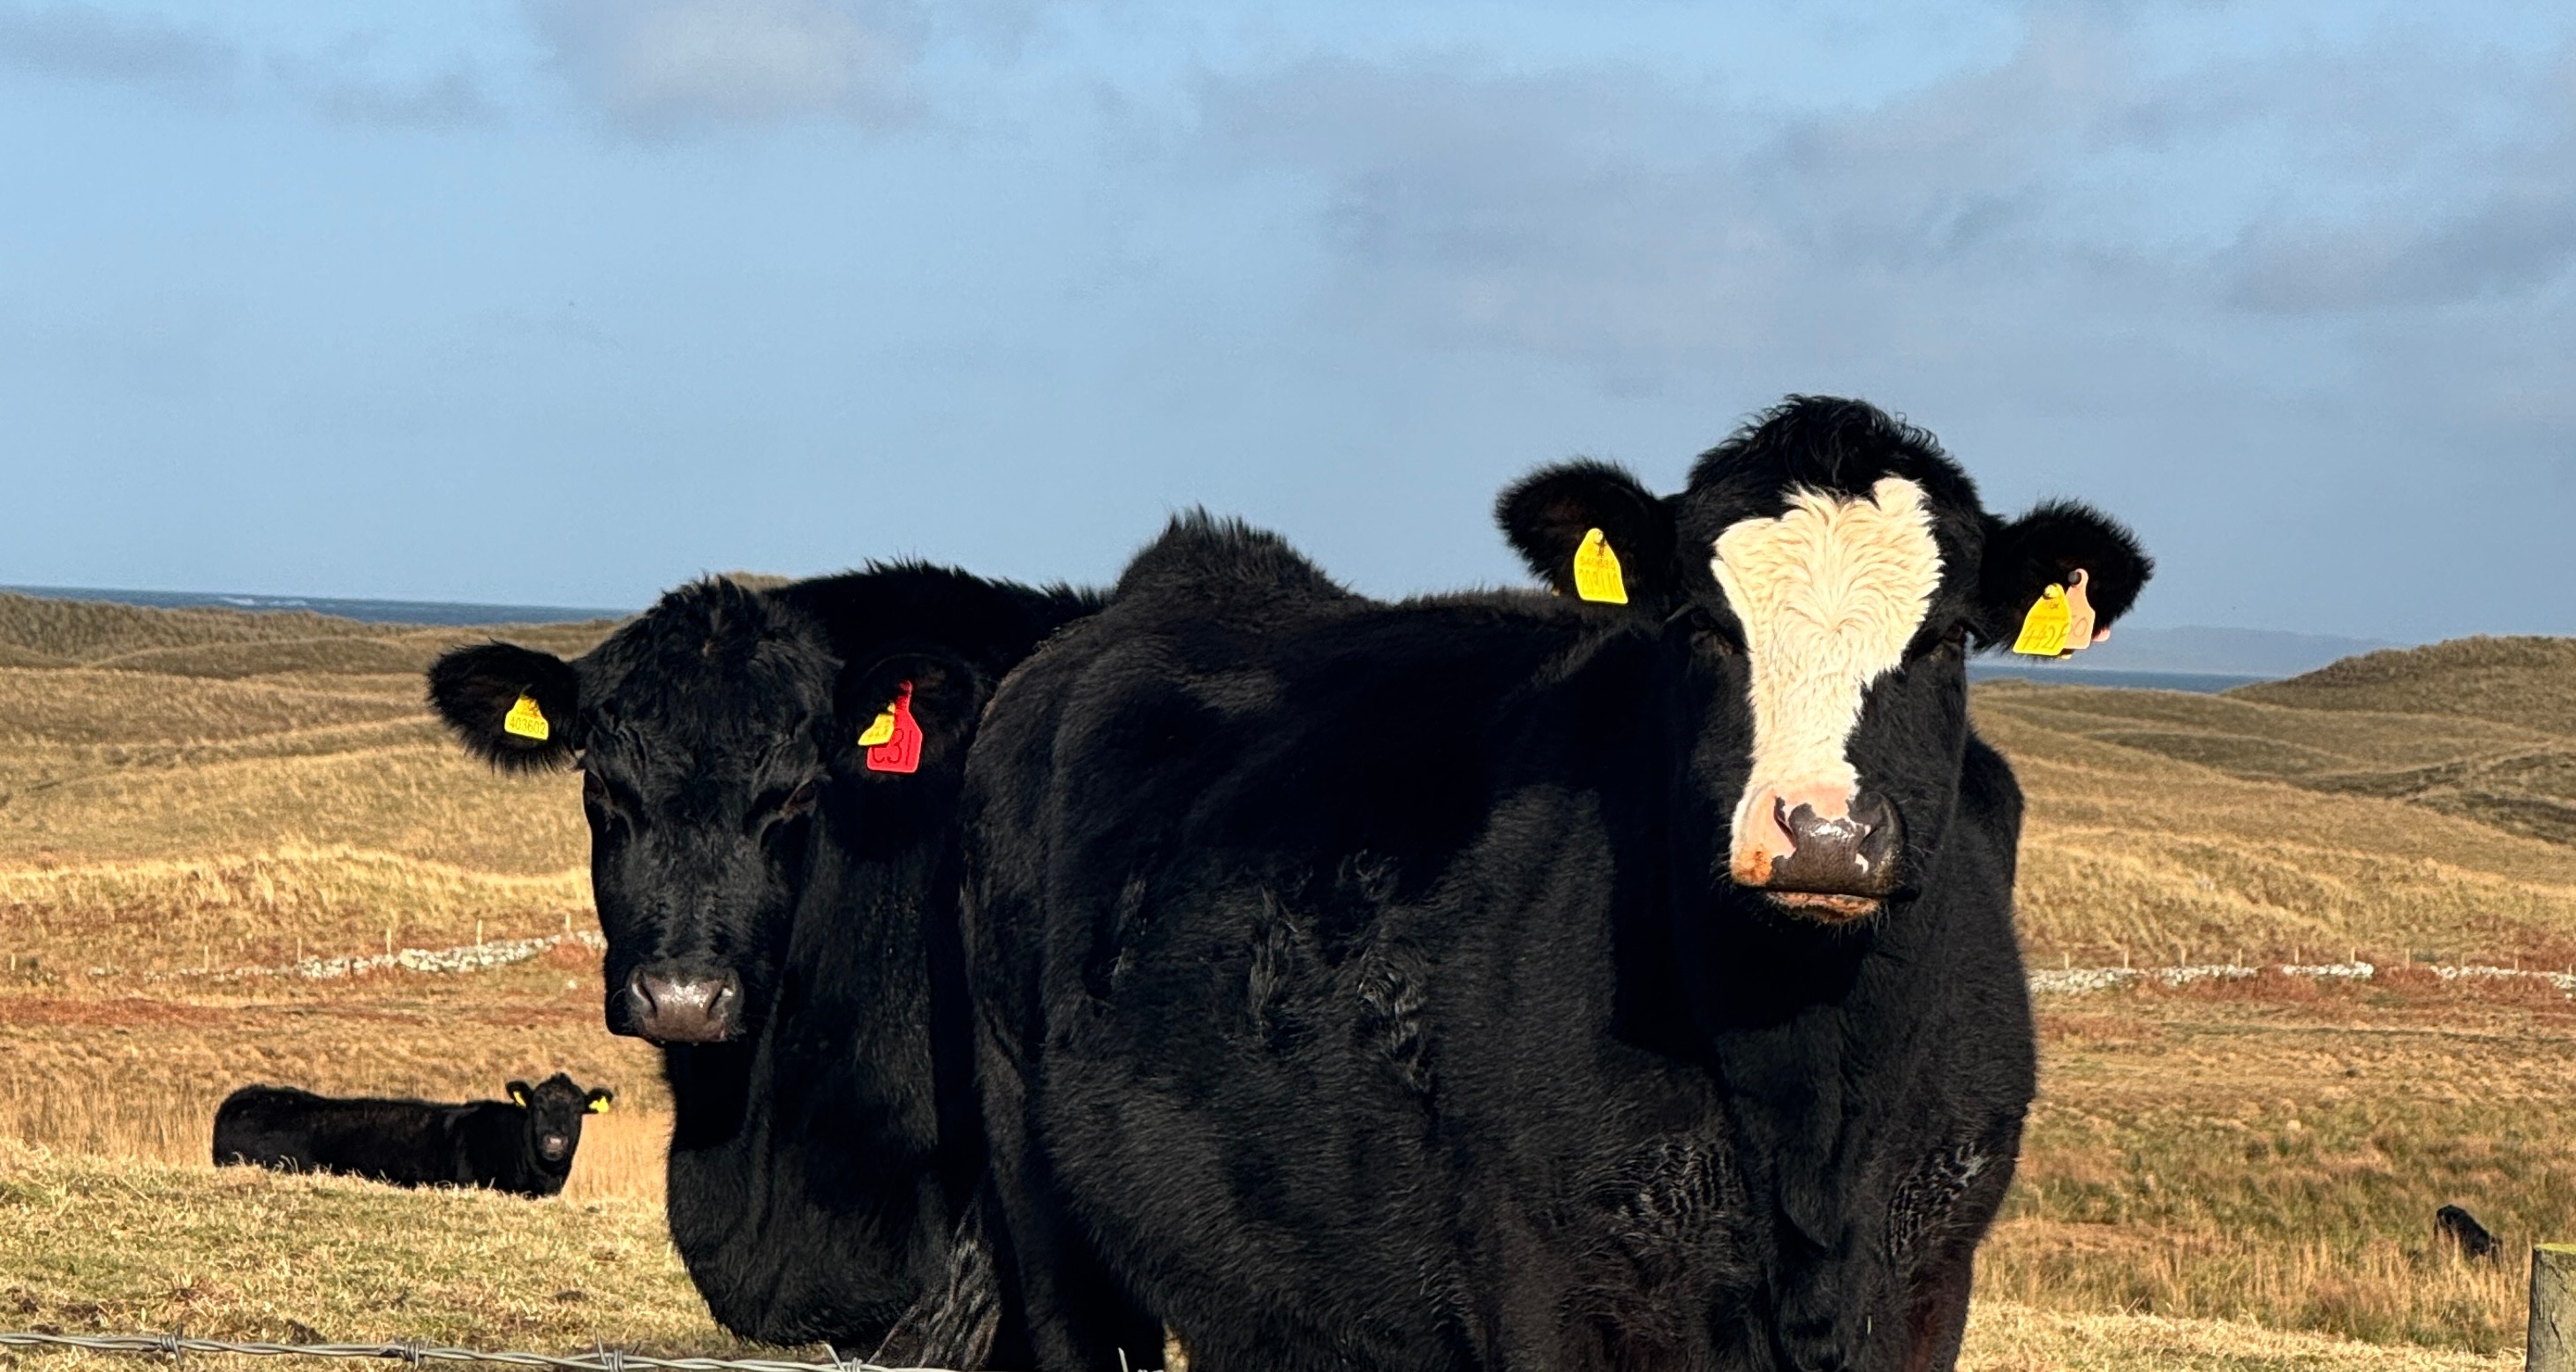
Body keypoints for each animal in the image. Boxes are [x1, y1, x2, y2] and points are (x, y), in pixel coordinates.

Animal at [960, 396, 2150, 1372]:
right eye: (1702, 627)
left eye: (1945, 639)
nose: (1822, 833)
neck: (1807, 1096)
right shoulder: (1553, 1284)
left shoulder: (1922, 1283)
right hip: (1041, 1203)